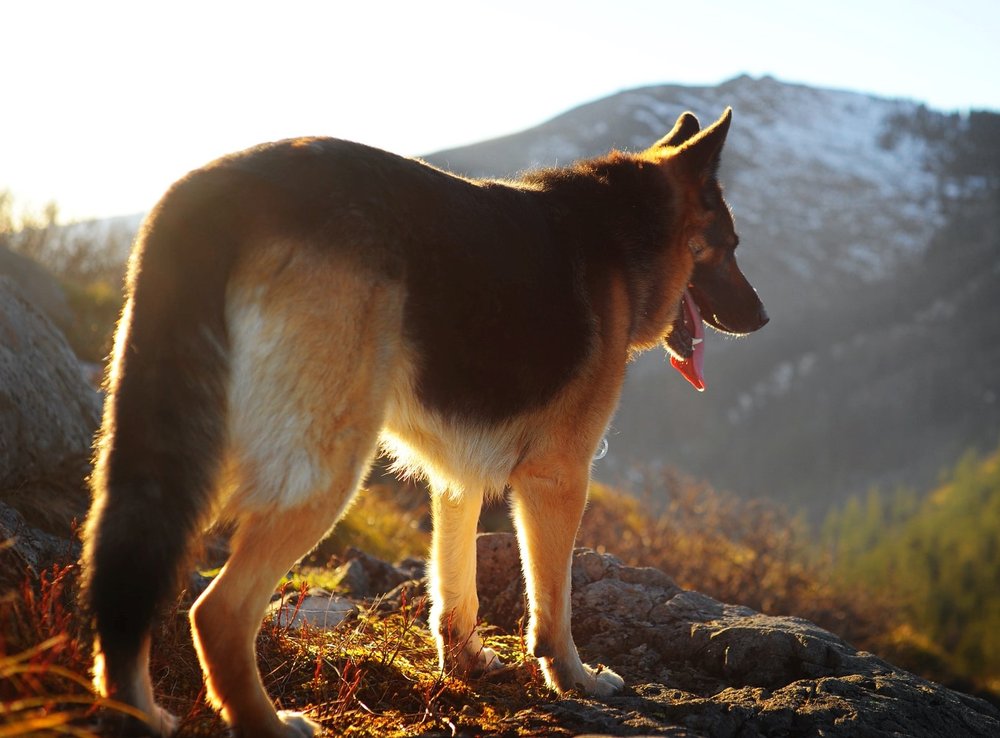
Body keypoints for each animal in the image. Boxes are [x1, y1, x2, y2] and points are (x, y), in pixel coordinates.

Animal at [80, 106, 764, 732]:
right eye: (730, 248)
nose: (761, 319)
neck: (624, 232)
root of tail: (210, 192)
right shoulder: (558, 478)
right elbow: (554, 604)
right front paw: (574, 678)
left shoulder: (457, 476)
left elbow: (456, 585)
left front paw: (466, 662)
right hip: (325, 465)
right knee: (216, 613)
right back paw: (268, 722)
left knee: (130, 581)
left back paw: (137, 712)